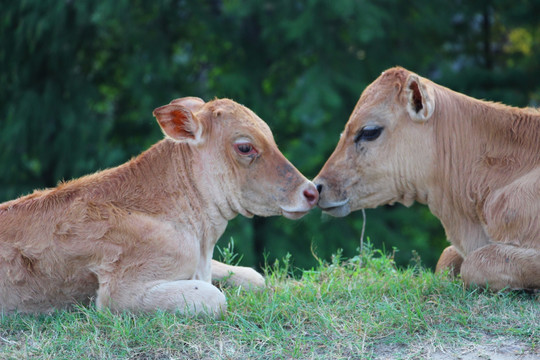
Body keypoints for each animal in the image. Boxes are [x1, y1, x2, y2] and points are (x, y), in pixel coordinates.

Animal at [0, 97, 318, 314]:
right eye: (245, 146)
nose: (311, 191)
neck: (202, 239)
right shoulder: (120, 290)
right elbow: (214, 298)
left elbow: (254, 276)